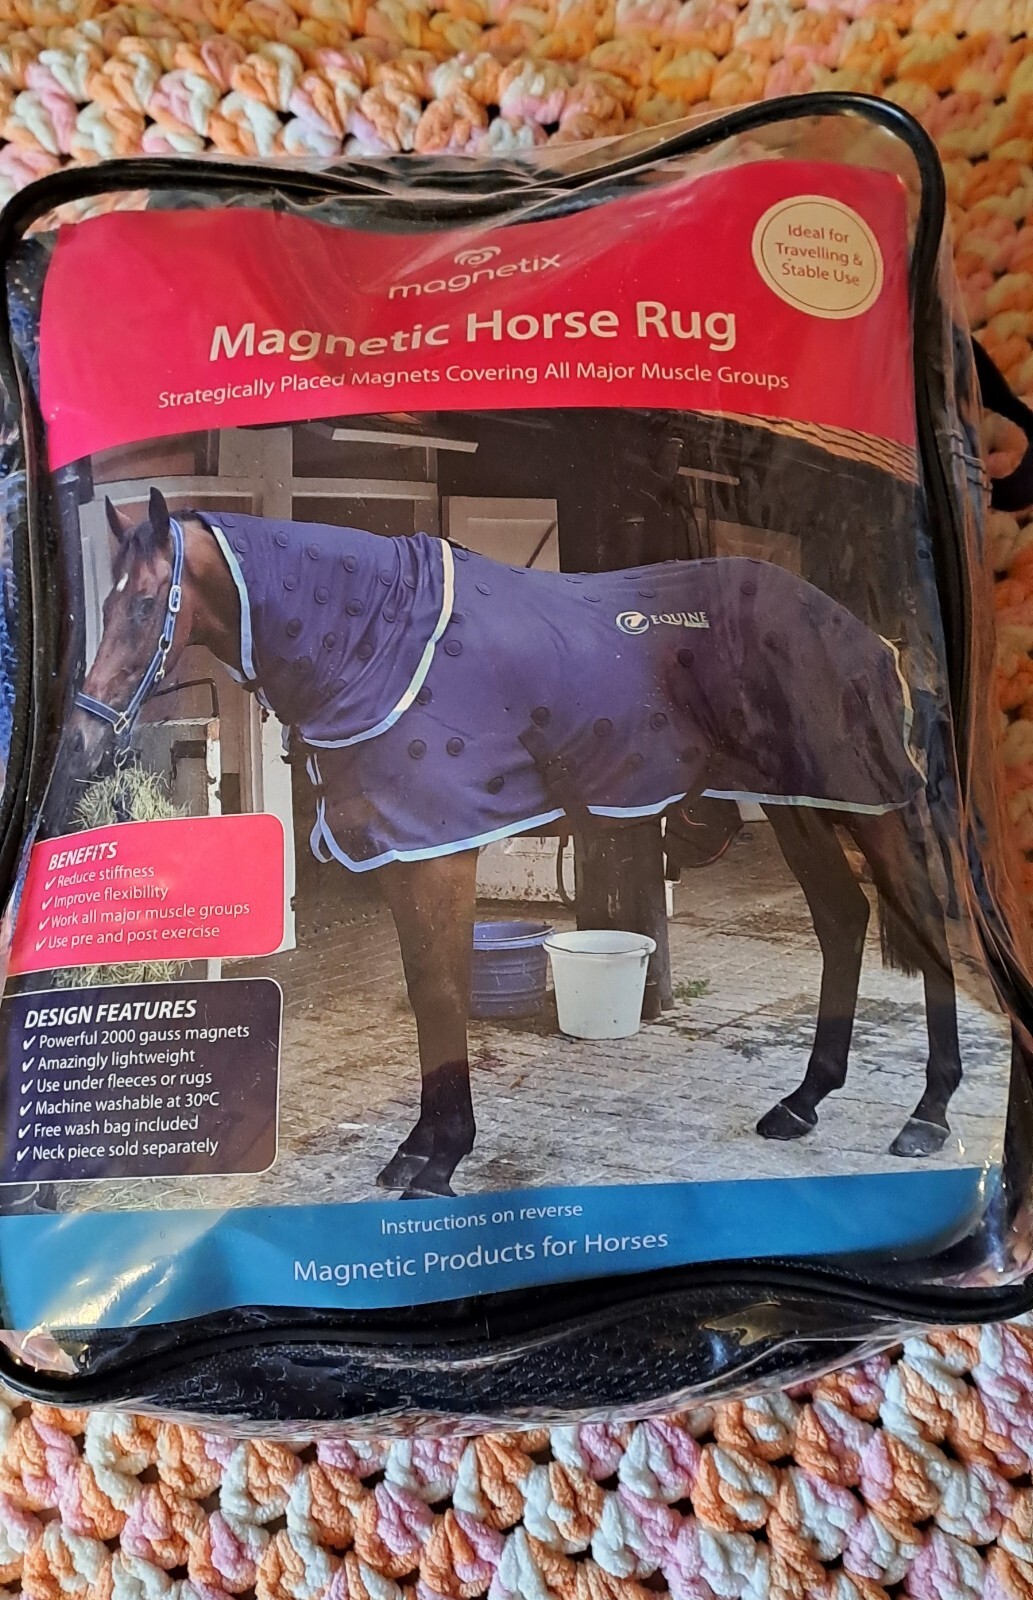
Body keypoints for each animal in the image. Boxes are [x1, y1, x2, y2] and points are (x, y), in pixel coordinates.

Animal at [51, 486, 964, 1199]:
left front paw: (439, 1160)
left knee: (923, 928)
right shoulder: (405, 856)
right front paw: (420, 1149)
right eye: (105, 603)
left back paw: (926, 1114)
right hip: (796, 806)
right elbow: (427, 992)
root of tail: (866, 635)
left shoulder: (439, 853)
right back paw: (803, 1101)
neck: (379, 642)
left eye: (146, 604)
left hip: (868, 803)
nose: (83, 744)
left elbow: (442, 994)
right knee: (842, 921)